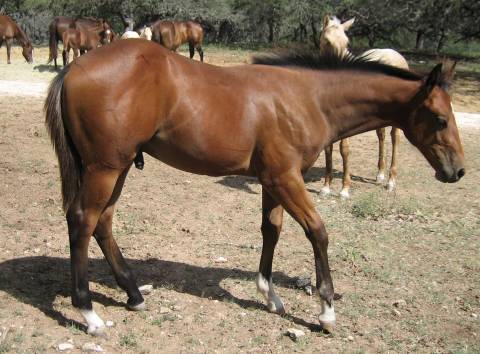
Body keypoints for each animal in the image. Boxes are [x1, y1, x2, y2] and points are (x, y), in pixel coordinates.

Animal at [45, 40, 464, 336]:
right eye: (440, 119)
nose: (457, 171)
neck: (307, 97)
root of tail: (74, 66)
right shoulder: (285, 178)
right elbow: (318, 231)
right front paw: (326, 310)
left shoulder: (272, 180)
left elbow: (271, 230)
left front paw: (270, 295)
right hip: (105, 168)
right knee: (83, 221)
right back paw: (88, 313)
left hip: (117, 167)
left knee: (103, 222)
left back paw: (133, 295)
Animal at [318, 15, 408, 196]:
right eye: (327, 41)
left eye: (347, 42)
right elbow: (328, 149)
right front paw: (326, 187)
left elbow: (344, 149)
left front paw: (345, 189)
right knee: (381, 135)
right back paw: (380, 175)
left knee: (395, 138)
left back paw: (391, 182)